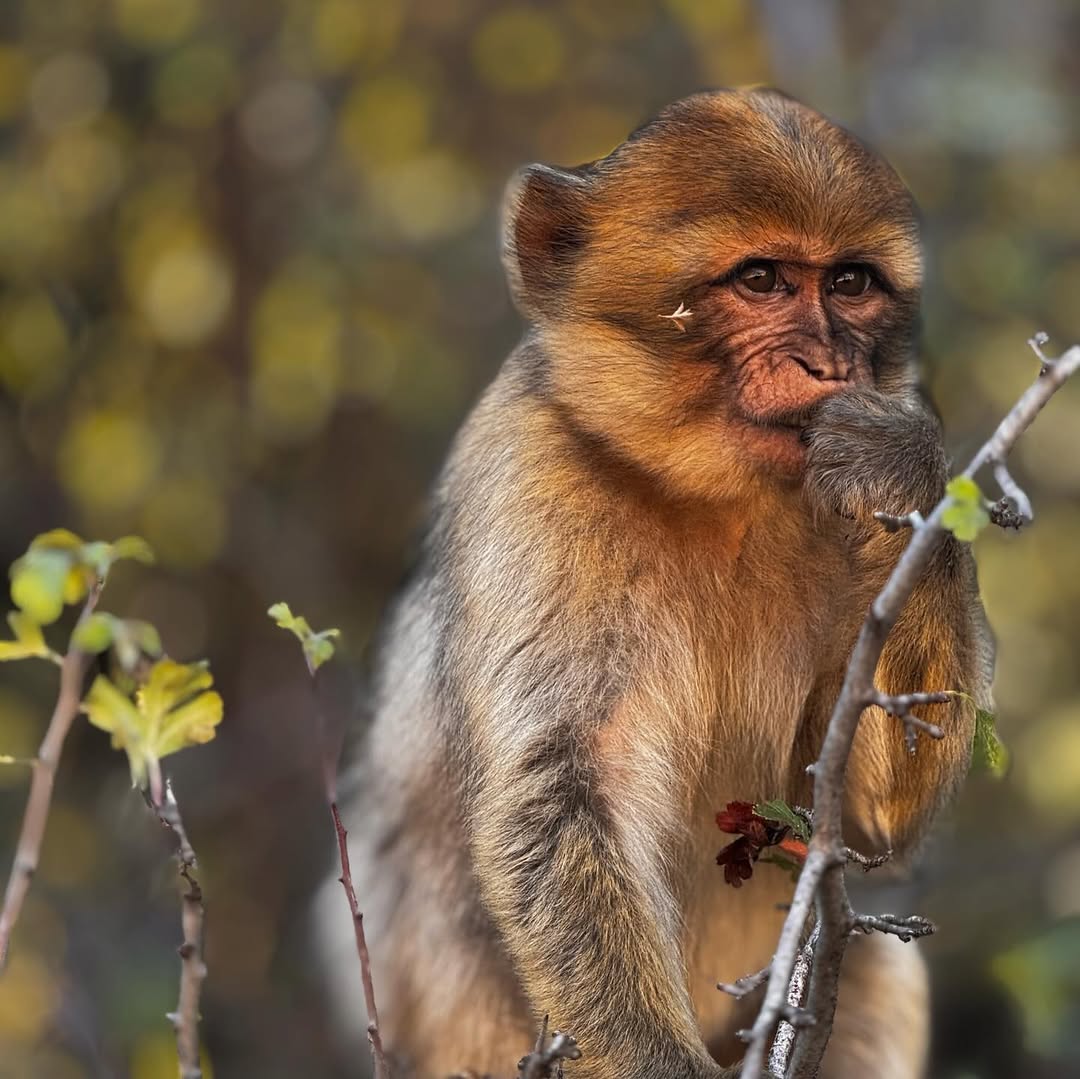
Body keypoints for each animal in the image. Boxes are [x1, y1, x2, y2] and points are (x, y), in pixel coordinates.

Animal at [317, 88, 994, 1079]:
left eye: (849, 284)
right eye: (762, 280)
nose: (829, 365)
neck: (720, 499)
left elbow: (870, 818)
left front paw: (898, 466)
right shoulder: (530, 470)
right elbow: (561, 794)